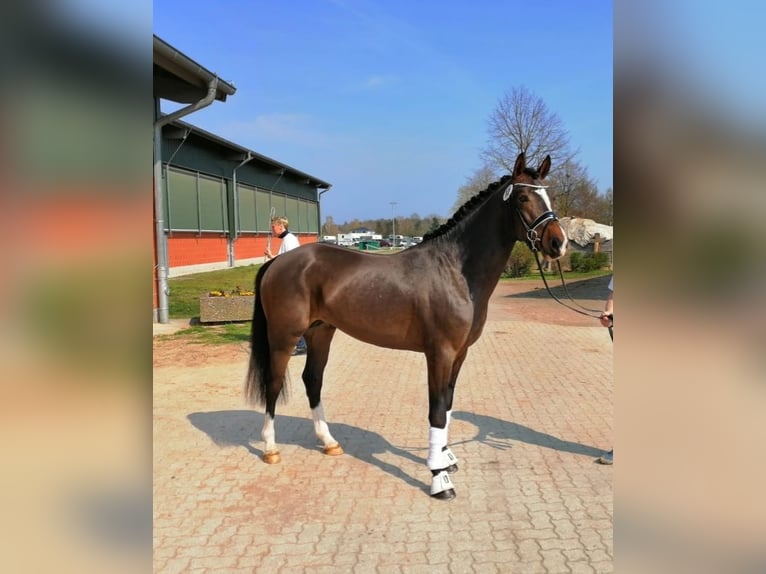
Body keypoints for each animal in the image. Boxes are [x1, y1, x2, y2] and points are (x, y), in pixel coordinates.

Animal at [245, 152, 567, 500]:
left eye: (548, 195)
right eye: (523, 197)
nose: (558, 243)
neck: (455, 270)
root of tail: (278, 262)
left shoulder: (460, 354)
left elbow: (448, 406)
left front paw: (446, 458)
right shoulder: (439, 353)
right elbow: (436, 411)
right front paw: (439, 478)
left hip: (321, 332)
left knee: (312, 380)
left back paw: (329, 442)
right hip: (284, 337)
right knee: (274, 383)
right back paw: (270, 448)